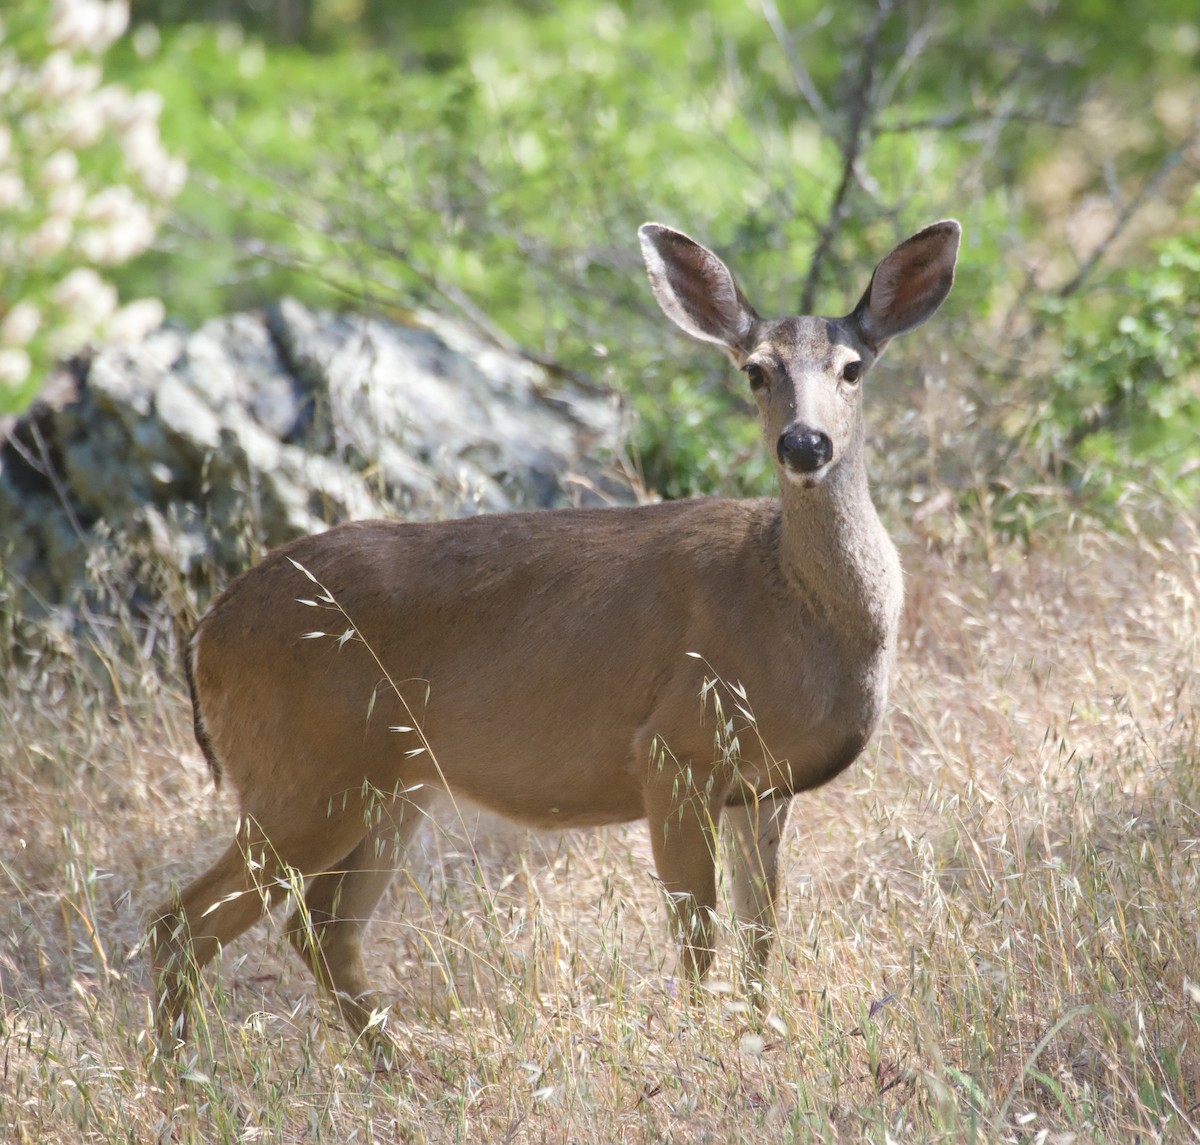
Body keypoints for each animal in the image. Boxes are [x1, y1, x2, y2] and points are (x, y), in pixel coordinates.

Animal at [150, 218, 960, 1057]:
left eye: (852, 368)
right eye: (755, 372)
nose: (804, 444)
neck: (793, 605)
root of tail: (205, 633)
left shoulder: (763, 785)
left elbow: (761, 930)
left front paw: (761, 1034)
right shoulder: (673, 748)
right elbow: (697, 935)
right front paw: (705, 1045)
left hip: (388, 785)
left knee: (320, 926)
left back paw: (400, 1065)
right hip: (301, 775)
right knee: (184, 921)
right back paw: (186, 1075)